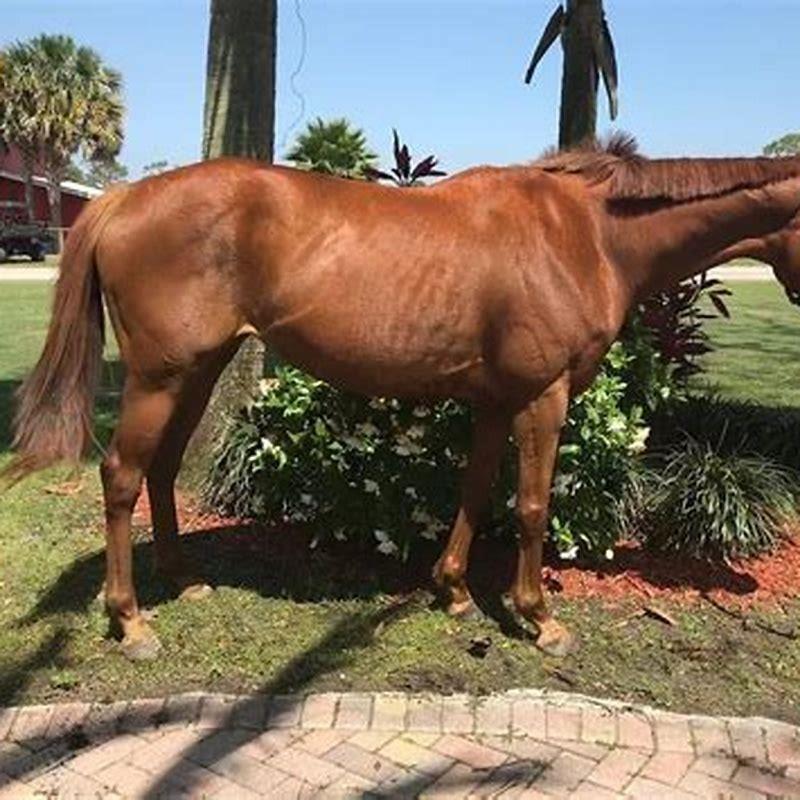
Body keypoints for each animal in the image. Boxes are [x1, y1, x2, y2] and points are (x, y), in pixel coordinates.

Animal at [5, 134, 800, 660]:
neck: (585, 233)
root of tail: (122, 200)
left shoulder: (494, 400)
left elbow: (475, 490)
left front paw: (452, 591)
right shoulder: (542, 397)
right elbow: (532, 507)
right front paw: (539, 619)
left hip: (196, 372)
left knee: (163, 469)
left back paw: (184, 579)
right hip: (160, 377)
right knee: (121, 476)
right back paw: (131, 620)